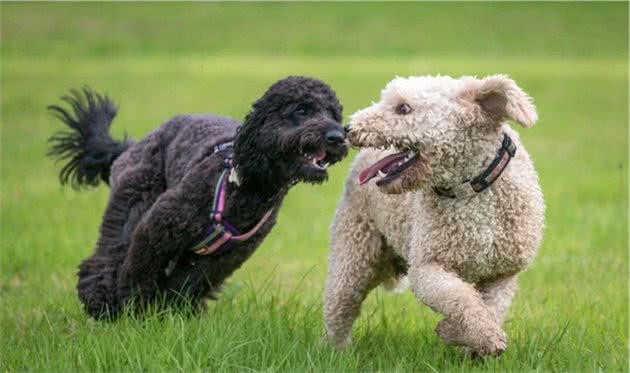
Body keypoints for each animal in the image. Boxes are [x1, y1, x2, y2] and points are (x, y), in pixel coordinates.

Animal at [47, 77, 348, 318]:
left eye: (334, 113)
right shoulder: (158, 228)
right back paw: (100, 301)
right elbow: (139, 270)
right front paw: (135, 307)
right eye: (301, 110)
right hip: (134, 201)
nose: (337, 136)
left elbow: (185, 284)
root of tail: (135, 144)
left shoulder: (222, 259)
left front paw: (169, 312)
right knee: (108, 255)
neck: (248, 188)